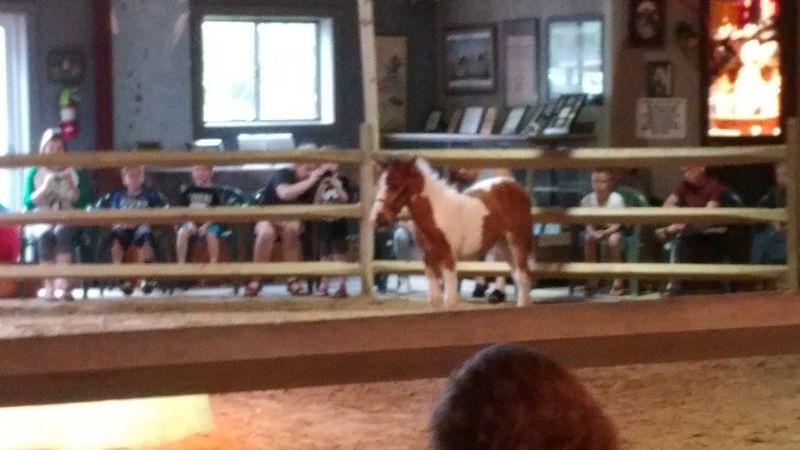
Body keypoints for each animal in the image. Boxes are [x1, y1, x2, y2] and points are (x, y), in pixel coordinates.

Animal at [371, 157, 533, 309]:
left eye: (395, 184)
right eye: (378, 184)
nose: (377, 218)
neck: (436, 212)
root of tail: (515, 186)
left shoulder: (448, 258)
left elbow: (450, 301)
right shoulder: (428, 259)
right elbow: (434, 300)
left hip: (517, 241)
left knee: (523, 276)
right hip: (503, 245)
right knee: (518, 276)